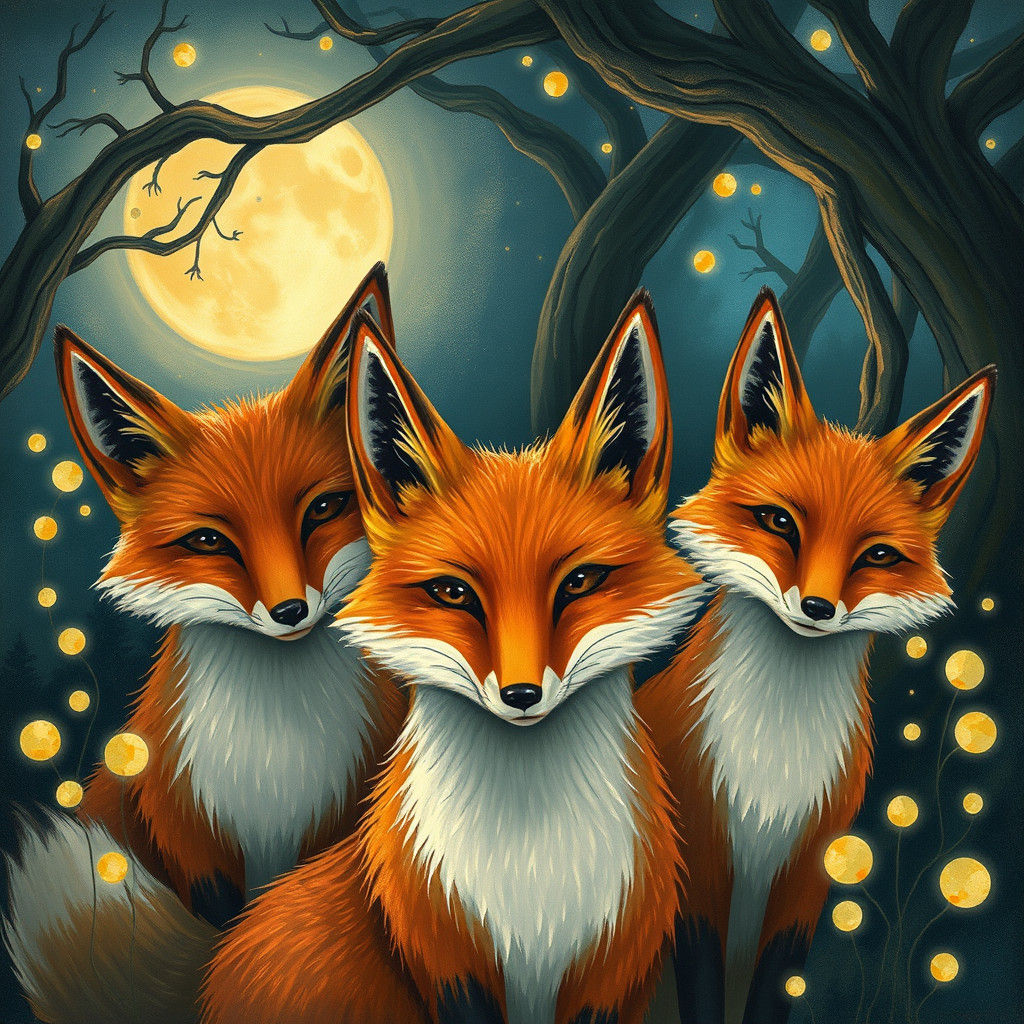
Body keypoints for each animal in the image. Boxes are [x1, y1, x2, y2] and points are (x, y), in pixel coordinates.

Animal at [5, 266, 407, 1024]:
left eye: (322, 509)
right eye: (208, 541)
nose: (290, 611)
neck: (276, 752)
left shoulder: (338, 821)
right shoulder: (185, 835)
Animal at [201, 292, 711, 1024]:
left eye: (580, 582)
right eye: (453, 592)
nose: (522, 695)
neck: (530, 873)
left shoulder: (617, 973)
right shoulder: (444, 962)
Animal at [636, 288, 995, 1024]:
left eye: (877, 555)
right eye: (780, 522)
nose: (817, 608)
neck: (773, 767)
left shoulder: (809, 885)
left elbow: (776, 996)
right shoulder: (698, 885)